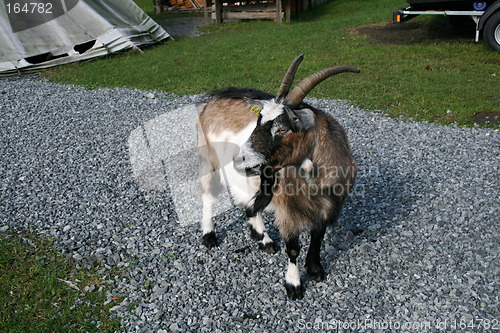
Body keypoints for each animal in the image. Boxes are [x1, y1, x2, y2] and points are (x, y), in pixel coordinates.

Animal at [196, 54, 360, 298]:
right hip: (210, 159)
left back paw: (262, 239)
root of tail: (213, 99)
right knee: (208, 196)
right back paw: (209, 236)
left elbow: (318, 238)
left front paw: (315, 270)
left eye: (283, 129)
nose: (239, 160)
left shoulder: (326, 206)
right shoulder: (288, 210)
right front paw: (294, 285)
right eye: (259, 121)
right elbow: (293, 248)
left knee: (248, 203)